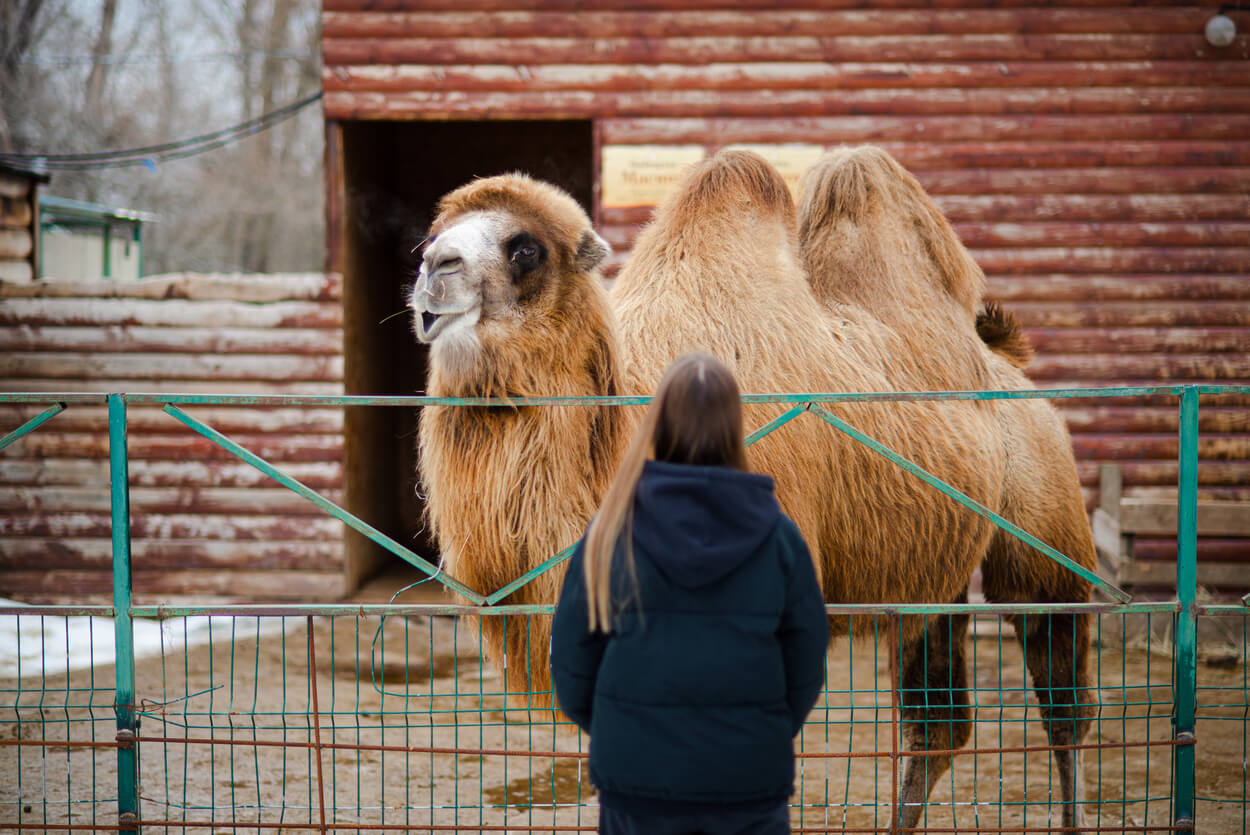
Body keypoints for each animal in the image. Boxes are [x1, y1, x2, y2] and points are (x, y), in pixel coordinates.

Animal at [410, 146, 1095, 830]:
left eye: (526, 249)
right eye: (433, 235)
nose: (433, 268)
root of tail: (1010, 364)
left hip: (1044, 530)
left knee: (1061, 689)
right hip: (937, 579)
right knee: (939, 725)